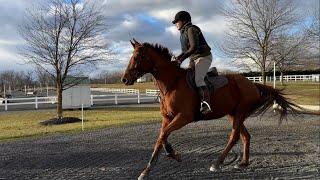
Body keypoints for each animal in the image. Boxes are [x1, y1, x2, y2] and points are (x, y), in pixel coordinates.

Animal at [121, 39, 302, 179]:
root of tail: (252, 84)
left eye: (136, 57)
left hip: (239, 113)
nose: (124, 79)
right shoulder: (167, 118)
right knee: (245, 136)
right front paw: (150, 168)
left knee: (234, 136)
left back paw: (217, 163)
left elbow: (163, 135)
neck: (172, 83)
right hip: (233, 114)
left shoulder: (184, 117)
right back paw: (243, 163)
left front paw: (169, 157)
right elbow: (161, 138)